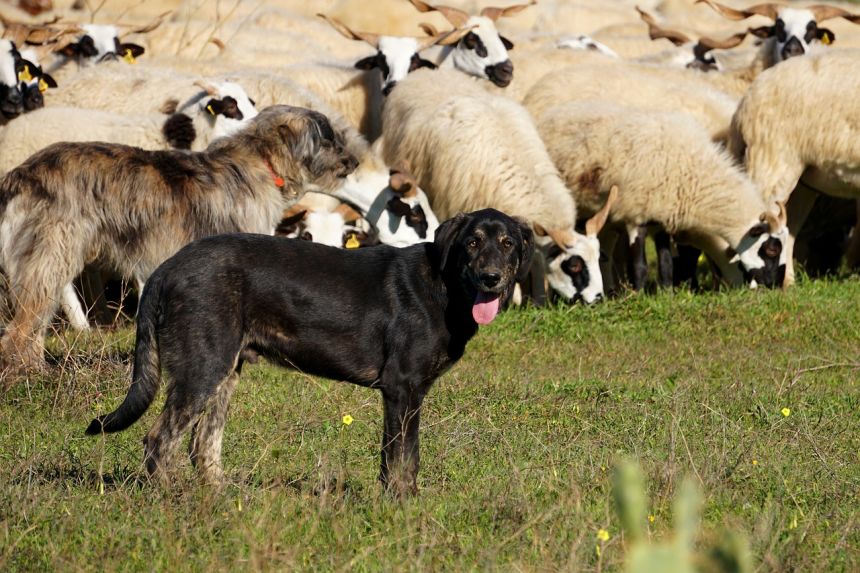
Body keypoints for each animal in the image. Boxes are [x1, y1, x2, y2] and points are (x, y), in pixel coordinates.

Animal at [87, 208, 532, 494]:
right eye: (472, 242)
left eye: (508, 243)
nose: (491, 278)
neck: (445, 285)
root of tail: (167, 268)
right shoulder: (402, 389)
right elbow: (401, 459)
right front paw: (401, 508)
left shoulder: (406, 393)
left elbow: (402, 458)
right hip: (203, 370)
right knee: (159, 440)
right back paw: (172, 500)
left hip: (224, 373)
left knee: (203, 445)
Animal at [380, 68, 616, 304]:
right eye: (574, 265)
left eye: (599, 258)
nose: (598, 299)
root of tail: (426, 73)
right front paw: (516, 300)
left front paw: (538, 300)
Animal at [536, 100, 792, 288]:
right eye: (771, 249)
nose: (773, 285)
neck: (695, 176)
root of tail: (552, 113)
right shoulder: (635, 216)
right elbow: (639, 266)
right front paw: (639, 295)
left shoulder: (661, 219)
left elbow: (667, 265)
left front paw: (667, 294)